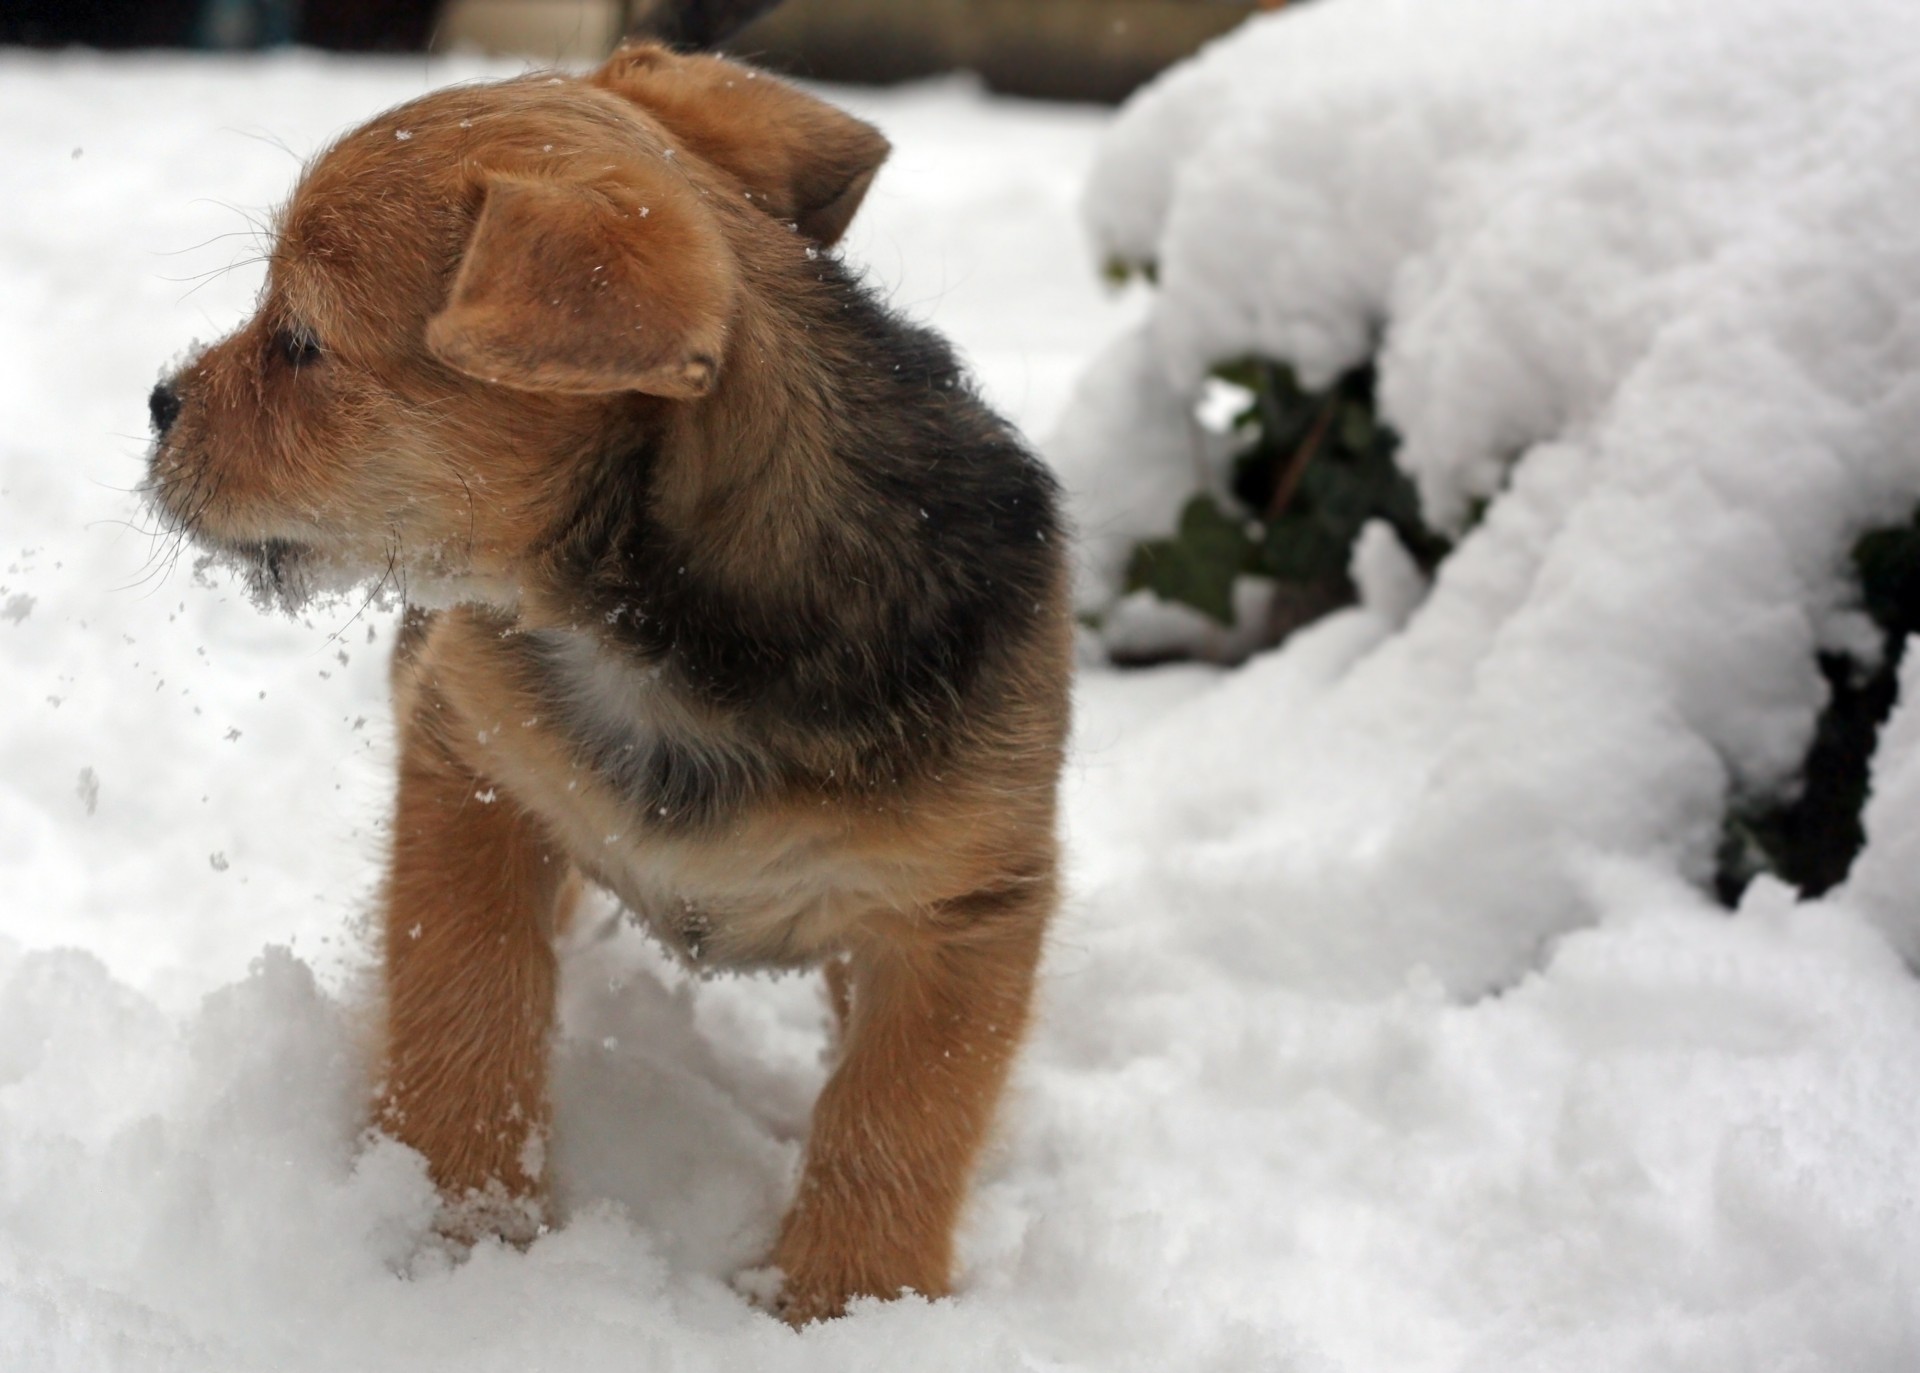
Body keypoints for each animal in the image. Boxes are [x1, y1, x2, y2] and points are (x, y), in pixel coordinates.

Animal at [145, 45, 1082, 1328]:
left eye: (299, 340)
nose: (156, 403)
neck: (668, 648)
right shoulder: (472, 768)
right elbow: (468, 997)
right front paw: (464, 1228)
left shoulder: (963, 906)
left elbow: (899, 1113)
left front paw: (848, 1305)